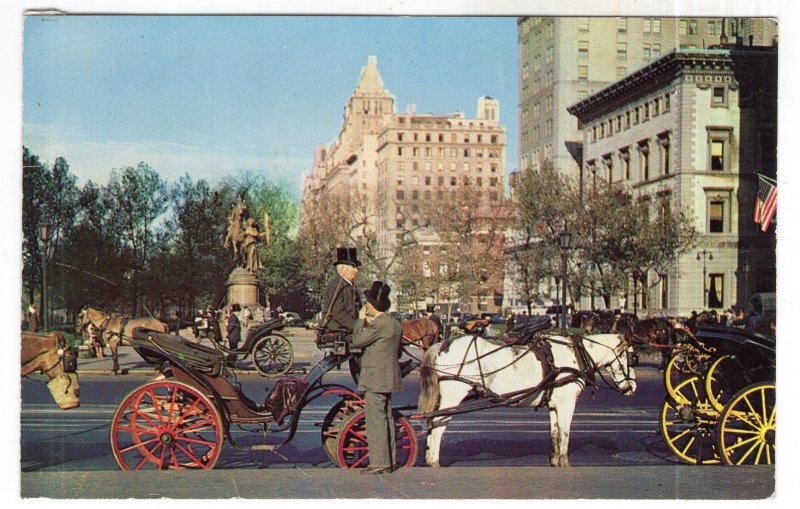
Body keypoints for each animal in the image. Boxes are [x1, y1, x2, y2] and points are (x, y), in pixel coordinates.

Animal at [418, 332, 636, 466]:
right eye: (631, 358)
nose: (632, 387)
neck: (576, 354)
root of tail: (442, 344)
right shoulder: (566, 402)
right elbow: (565, 431)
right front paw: (565, 461)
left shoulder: (554, 404)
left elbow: (554, 433)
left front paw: (555, 460)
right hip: (453, 395)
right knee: (437, 423)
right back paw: (433, 460)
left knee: (431, 422)